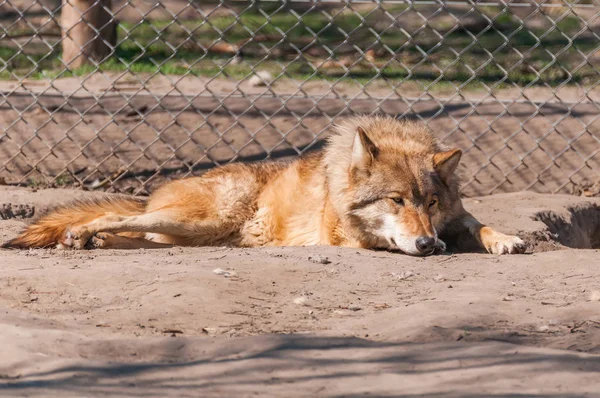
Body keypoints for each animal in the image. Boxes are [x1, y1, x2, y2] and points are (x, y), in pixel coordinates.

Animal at [1, 116, 524, 256]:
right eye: (395, 201)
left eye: (431, 201)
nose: (428, 244)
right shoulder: (348, 236)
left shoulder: (454, 216)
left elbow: (476, 224)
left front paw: (505, 238)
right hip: (204, 219)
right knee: (113, 216)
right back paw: (81, 235)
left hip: (194, 233)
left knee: (133, 234)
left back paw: (88, 240)